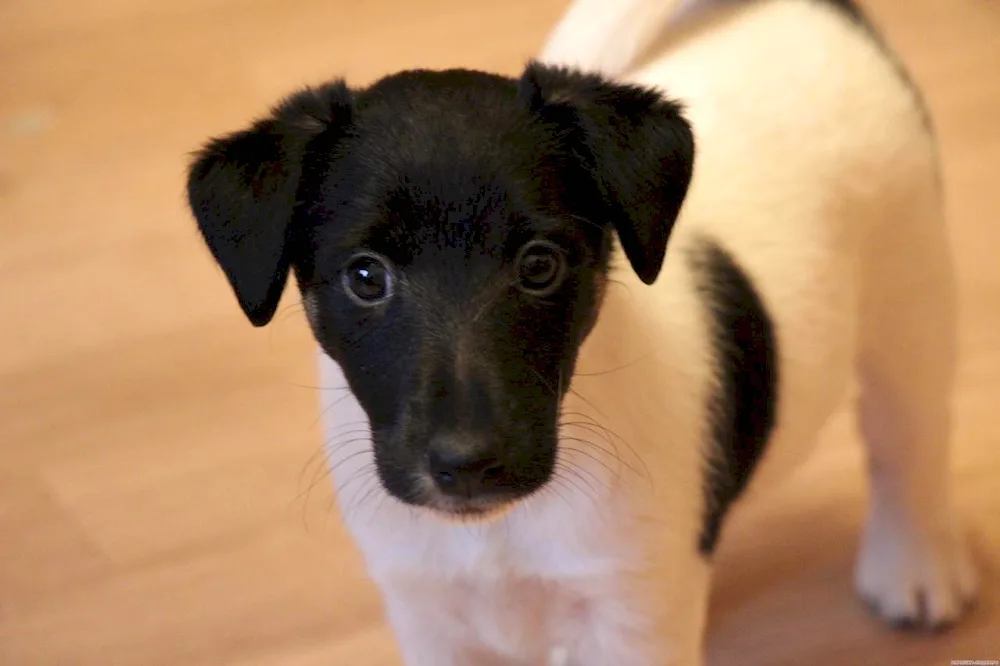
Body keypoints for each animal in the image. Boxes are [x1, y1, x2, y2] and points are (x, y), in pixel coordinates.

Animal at [186, 1, 976, 664]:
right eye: (365, 276)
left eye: (540, 265)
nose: (468, 463)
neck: (501, 531)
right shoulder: (428, 611)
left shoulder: (633, 609)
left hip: (910, 298)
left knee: (908, 440)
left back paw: (917, 564)